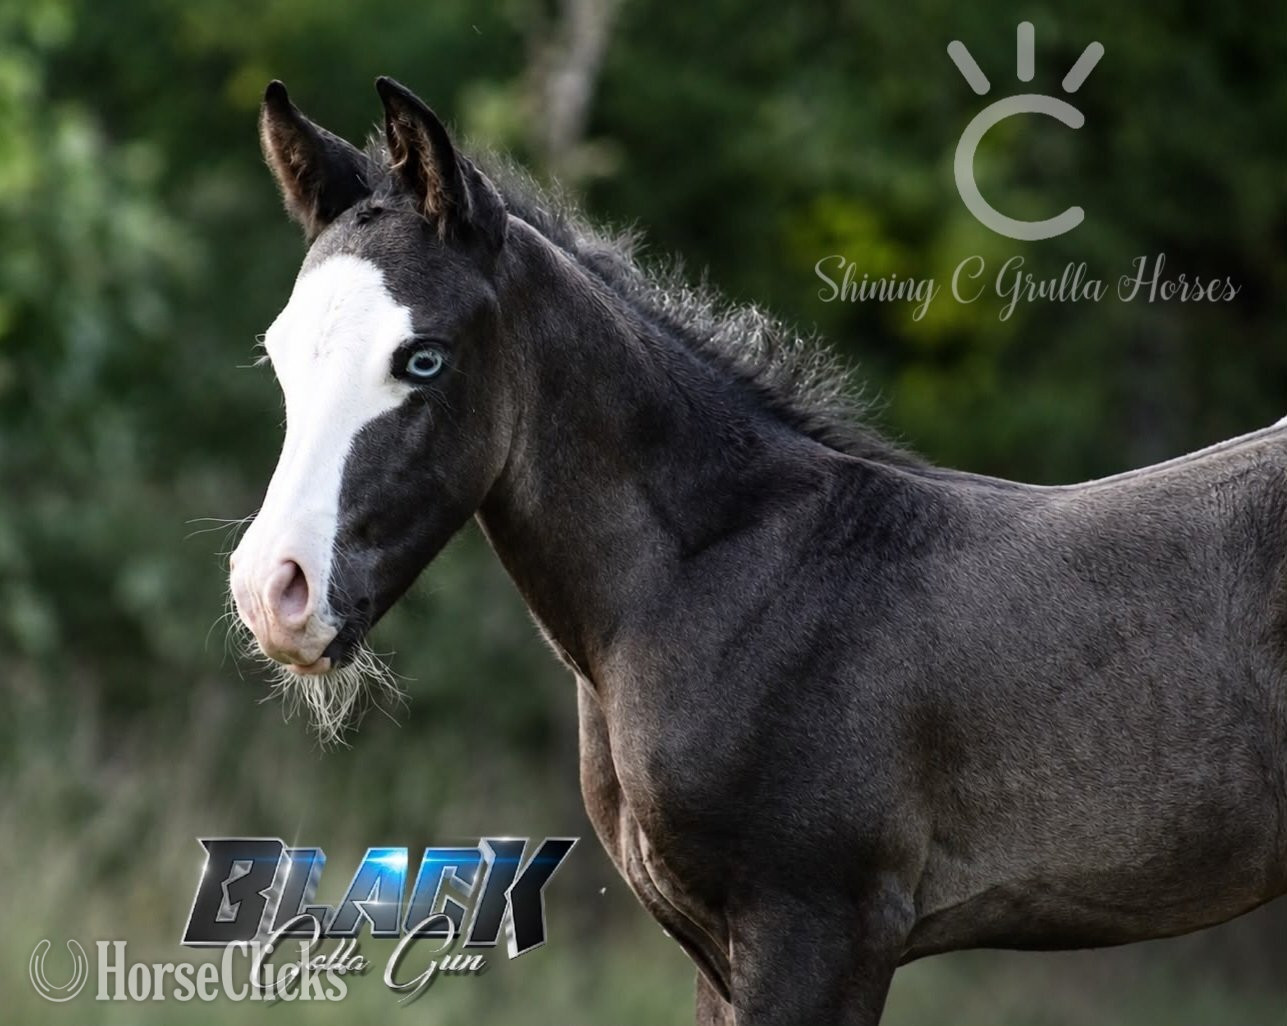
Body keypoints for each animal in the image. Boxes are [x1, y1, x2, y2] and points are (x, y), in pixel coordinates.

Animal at [228, 77, 1287, 1025]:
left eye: (423, 358)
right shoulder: (718, 949)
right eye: (277, 354)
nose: (273, 592)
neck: (725, 581)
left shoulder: (820, 925)